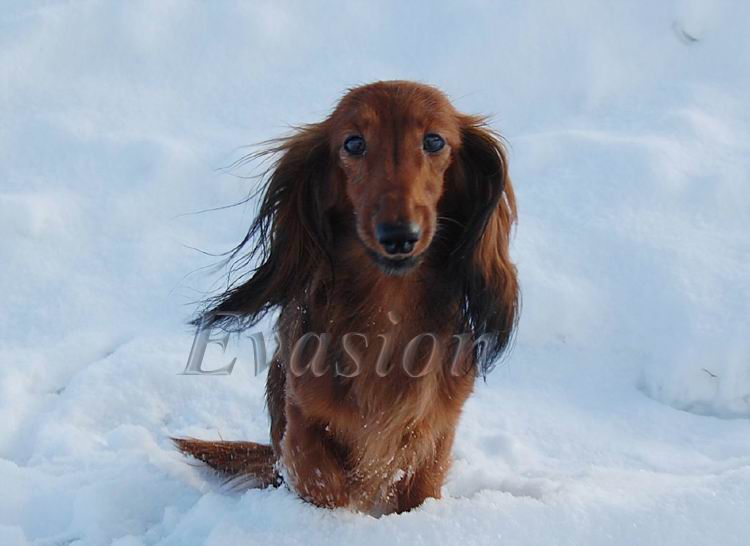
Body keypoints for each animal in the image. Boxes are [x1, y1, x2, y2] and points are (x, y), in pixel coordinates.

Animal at [175, 80, 519, 514]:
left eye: (435, 141)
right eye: (353, 143)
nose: (399, 235)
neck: (388, 312)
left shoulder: (435, 432)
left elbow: (419, 487)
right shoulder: (302, 418)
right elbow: (320, 480)